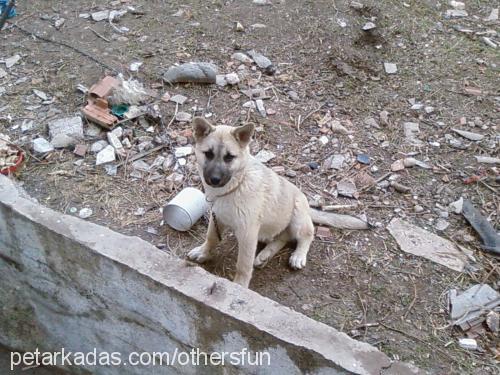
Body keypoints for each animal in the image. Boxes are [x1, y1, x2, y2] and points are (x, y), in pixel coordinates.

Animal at [188, 117, 312, 288]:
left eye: (229, 157)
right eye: (208, 154)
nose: (214, 180)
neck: (234, 187)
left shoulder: (248, 233)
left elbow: (243, 264)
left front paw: (239, 286)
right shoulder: (217, 218)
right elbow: (211, 237)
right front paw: (203, 252)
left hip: (298, 217)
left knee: (307, 234)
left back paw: (298, 255)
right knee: (283, 237)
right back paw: (265, 255)